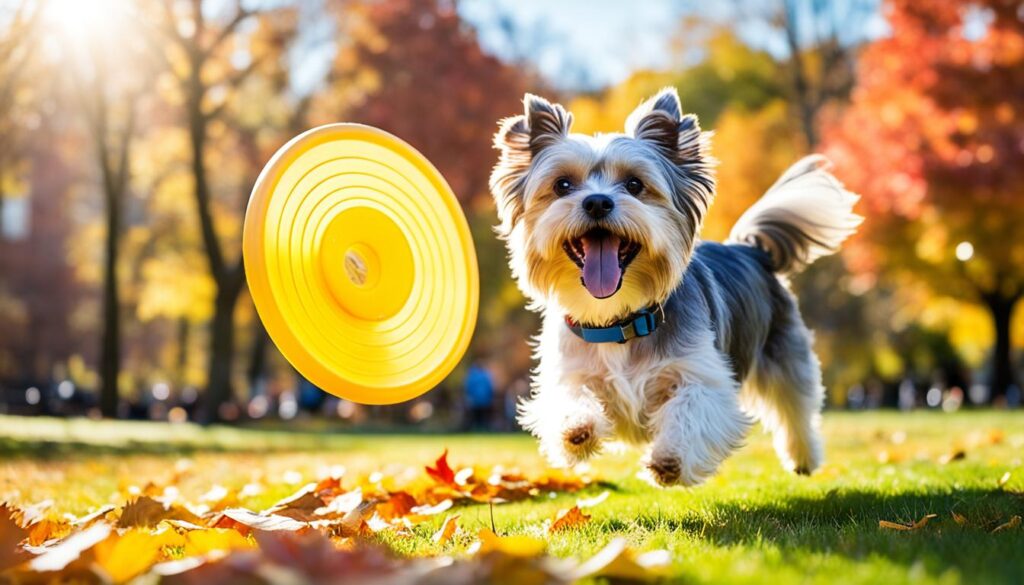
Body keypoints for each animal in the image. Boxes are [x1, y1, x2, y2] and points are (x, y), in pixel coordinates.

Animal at [491, 87, 860, 487]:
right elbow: (569, 398)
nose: (598, 202)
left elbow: (692, 407)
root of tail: (749, 248)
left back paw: (803, 457)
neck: (619, 318)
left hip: (784, 353)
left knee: (796, 407)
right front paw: (577, 428)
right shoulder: (571, 371)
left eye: (634, 184)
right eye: (562, 185)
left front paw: (670, 458)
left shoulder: (703, 374)